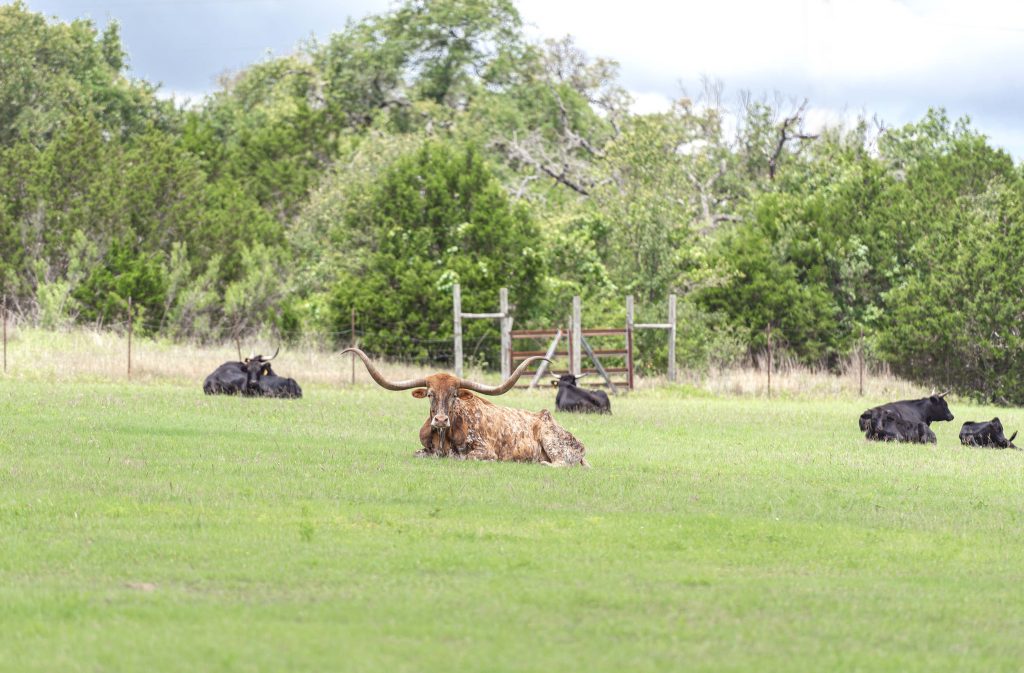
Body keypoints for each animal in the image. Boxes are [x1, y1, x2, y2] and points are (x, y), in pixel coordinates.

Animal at [344, 346, 589, 467]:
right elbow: (419, 454)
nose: (440, 420)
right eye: (430, 394)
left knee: (560, 463)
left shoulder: (486, 452)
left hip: (552, 441)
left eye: (454, 395)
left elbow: (464, 456)